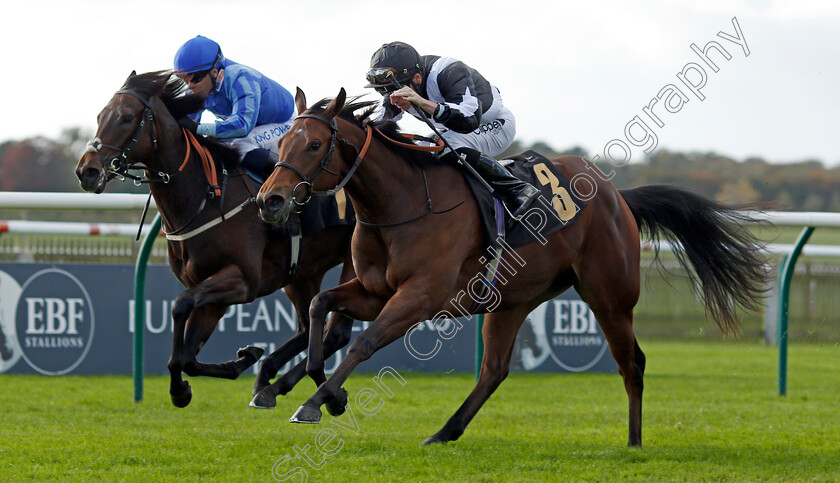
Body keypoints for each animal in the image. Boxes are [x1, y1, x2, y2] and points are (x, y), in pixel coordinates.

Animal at [73, 72, 358, 410]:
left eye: (127, 118)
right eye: (100, 116)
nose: (87, 171)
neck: (203, 199)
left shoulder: (242, 281)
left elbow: (180, 307)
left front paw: (182, 389)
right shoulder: (213, 292)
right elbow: (187, 357)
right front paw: (240, 360)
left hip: (356, 261)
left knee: (335, 333)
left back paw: (316, 392)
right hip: (302, 273)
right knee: (307, 327)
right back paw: (268, 379)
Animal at [254, 88, 768, 446]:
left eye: (314, 144)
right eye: (282, 140)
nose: (269, 200)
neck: (400, 202)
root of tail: (617, 197)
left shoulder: (421, 296)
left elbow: (364, 342)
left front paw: (315, 403)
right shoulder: (375, 291)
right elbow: (321, 306)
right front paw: (325, 394)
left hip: (610, 298)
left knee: (632, 363)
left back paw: (634, 442)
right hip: (513, 301)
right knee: (495, 371)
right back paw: (444, 432)